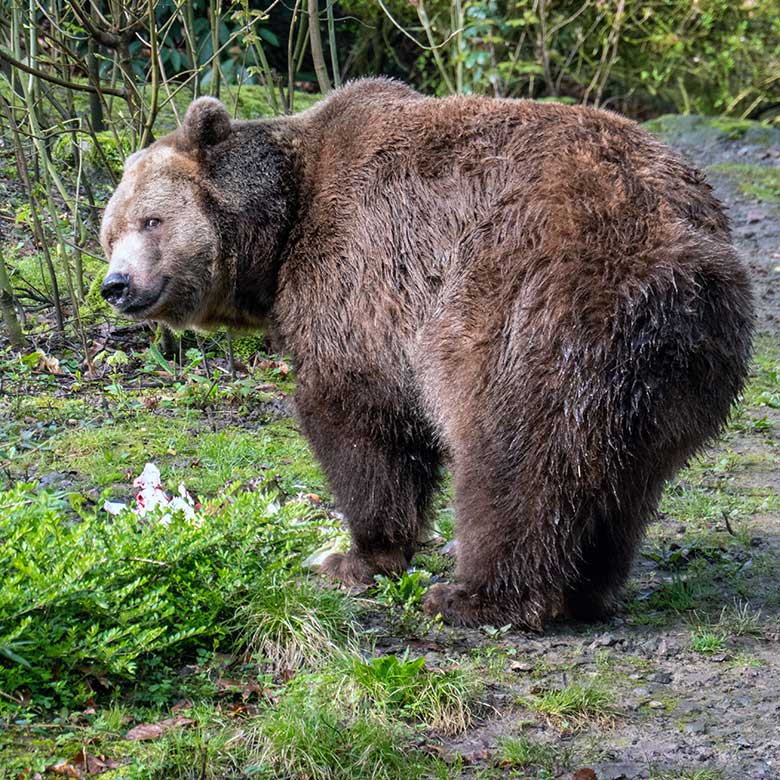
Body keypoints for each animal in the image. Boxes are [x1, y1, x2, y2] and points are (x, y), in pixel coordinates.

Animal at [100, 79, 752, 628]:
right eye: (110, 233)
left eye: (151, 220)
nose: (116, 285)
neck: (282, 228)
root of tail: (682, 254)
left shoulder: (361, 273)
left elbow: (364, 423)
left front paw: (353, 557)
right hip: (679, 370)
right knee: (624, 476)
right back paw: (588, 589)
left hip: (539, 306)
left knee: (514, 454)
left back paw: (476, 595)